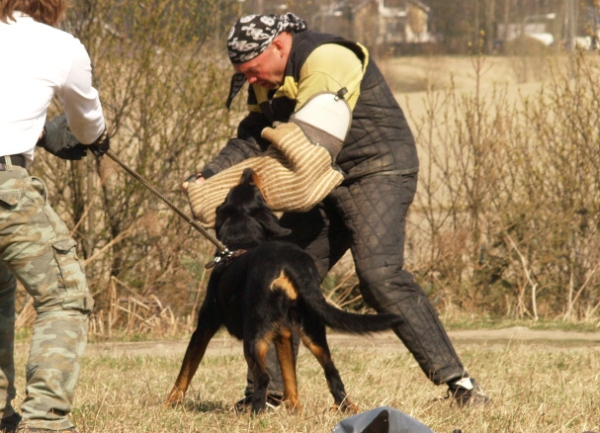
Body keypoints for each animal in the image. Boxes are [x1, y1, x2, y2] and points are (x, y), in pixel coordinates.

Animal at [166, 167, 404, 414]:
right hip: (311, 329)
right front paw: (295, 409)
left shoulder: (204, 328)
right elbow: (290, 377)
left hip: (254, 335)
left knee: (262, 376)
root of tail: (290, 263)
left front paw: (169, 404)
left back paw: (255, 414)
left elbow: (185, 372)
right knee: (332, 371)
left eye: (248, 188)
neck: (241, 245)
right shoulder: (283, 333)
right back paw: (345, 409)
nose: (248, 170)